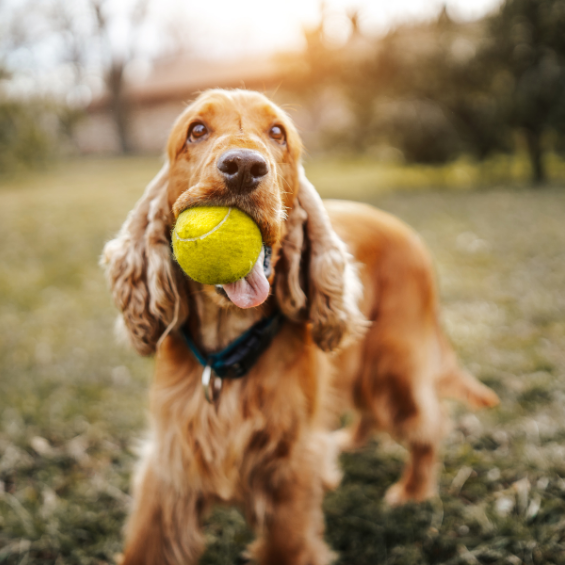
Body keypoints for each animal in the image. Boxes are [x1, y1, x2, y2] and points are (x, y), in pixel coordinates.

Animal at [102, 89, 498, 564]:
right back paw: (349, 443)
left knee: (428, 423)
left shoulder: (288, 474)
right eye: (196, 130)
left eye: (278, 133)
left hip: (394, 367)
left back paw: (412, 491)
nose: (244, 166)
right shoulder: (172, 463)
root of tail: (405, 231)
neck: (231, 347)